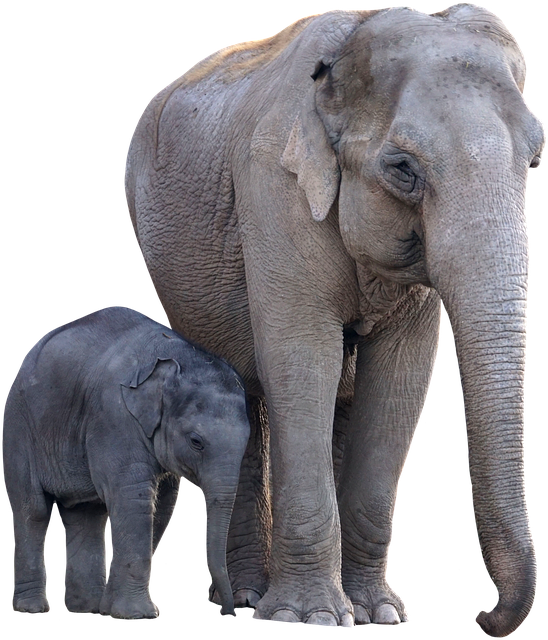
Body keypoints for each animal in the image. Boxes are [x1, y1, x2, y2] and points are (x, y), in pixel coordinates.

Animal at [2, 304, 250, 620]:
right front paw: (136, 615)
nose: (227, 611)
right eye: (196, 441)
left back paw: (89, 607)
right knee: (32, 510)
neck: (176, 357)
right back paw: (32, 609)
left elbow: (162, 504)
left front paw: (116, 609)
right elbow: (135, 497)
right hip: (19, 428)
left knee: (87, 514)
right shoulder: (114, 416)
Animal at [122, 4, 546, 636]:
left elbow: (399, 381)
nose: (483, 615)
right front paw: (310, 617)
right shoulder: (273, 191)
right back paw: (247, 599)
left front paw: (378, 614)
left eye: (535, 161)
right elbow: (303, 362)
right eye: (403, 169)